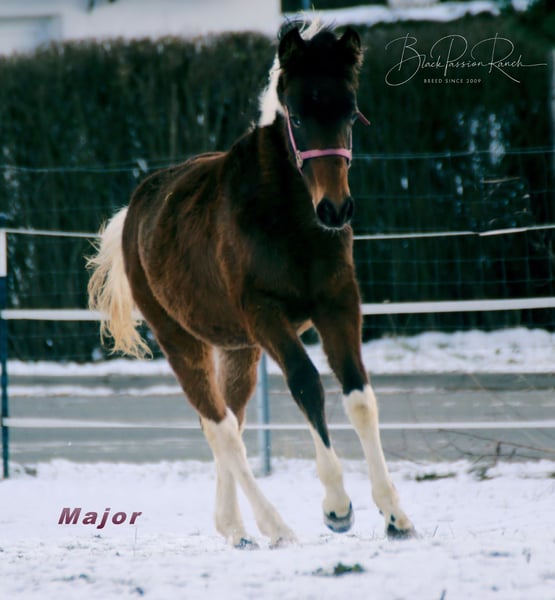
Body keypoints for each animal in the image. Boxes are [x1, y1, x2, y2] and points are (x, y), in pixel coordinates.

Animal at [88, 22, 414, 547]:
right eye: (297, 117)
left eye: (350, 112)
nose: (335, 209)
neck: (292, 222)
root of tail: (133, 215)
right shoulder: (265, 314)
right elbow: (307, 384)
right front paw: (337, 508)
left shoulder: (339, 304)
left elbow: (360, 396)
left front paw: (395, 516)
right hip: (182, 341)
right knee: (220, 426)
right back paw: (274, 527)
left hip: (238, 349)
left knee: (229, 423)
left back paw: (235, 528)